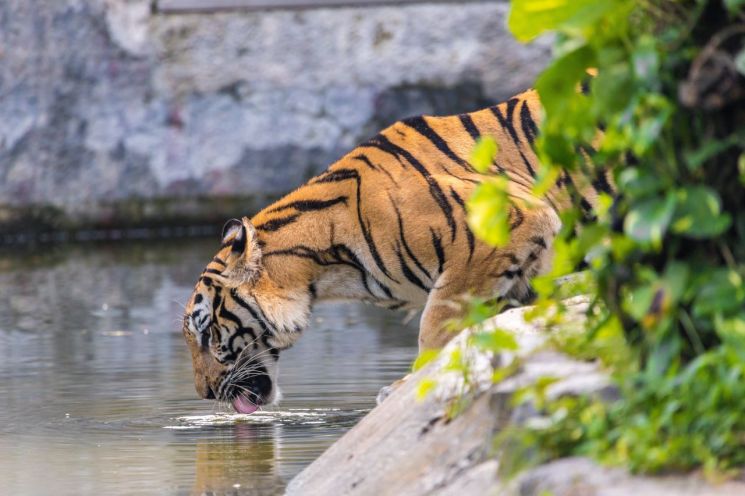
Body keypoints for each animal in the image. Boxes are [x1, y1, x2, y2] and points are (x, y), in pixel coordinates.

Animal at [180, 87, 612, 412]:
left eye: (208, 334)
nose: (205, 393)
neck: (329, 270)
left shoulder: (504, 222)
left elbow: (435, 324)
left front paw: (407, 384)